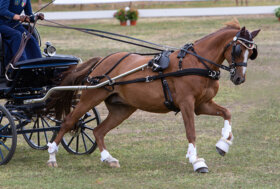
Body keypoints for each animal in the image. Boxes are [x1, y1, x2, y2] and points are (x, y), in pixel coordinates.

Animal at [46, 19, 260, 173]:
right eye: (238, 49)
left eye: (252, 52)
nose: (239, 78)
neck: (197, 63)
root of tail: (102, 60)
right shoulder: (187, 104)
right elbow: (191, 132)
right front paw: (196, 161)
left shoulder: (202, 104)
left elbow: (227, 112)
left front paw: (224, 144)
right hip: (90, 98)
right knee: (68, 122)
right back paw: (51, 156)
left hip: (122, 109)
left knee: (98, 131)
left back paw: (108, 159)